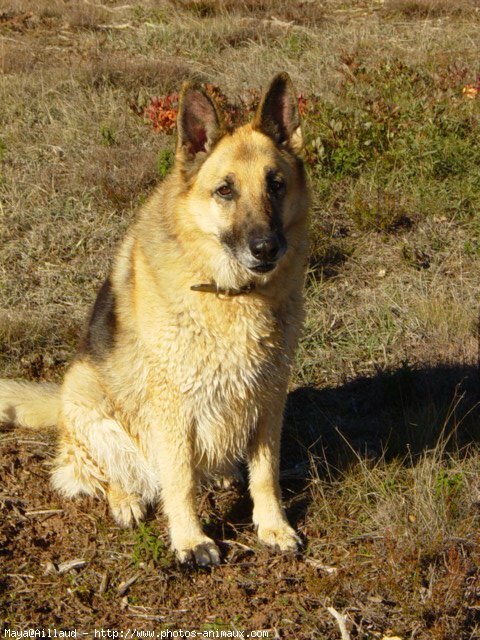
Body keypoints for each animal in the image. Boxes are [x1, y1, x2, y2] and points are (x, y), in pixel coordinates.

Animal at [0, 74, 310, 564]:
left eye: (276, 185)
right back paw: (126, 499)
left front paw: (273, 526)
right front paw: (190, 539)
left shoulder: (270, 397)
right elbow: (178, 479)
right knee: (103, 472)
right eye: (225, 190)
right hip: (89, 399)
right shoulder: (173, 404)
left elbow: (265, 474)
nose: (265, 248)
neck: (230, 294)